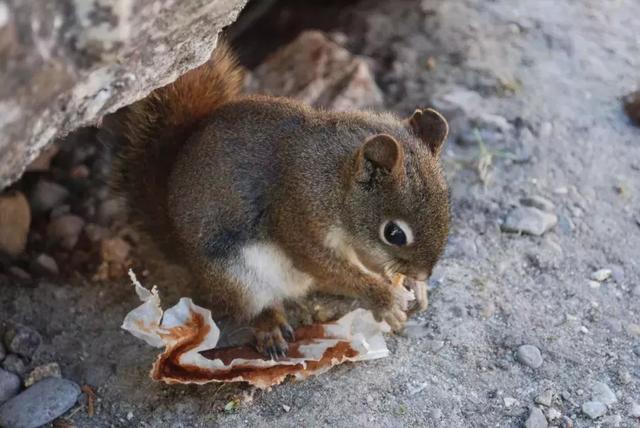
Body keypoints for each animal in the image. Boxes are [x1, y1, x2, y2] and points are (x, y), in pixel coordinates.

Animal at [105, 41, 452, 358]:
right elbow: (324, 265)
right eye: (394, 233)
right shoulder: (298, 213)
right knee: (254, 307)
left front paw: (413, 287)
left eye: (448, 211)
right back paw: (270, 327)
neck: (334, 180)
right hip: (234, 277)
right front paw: (385, 298)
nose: (425, 274)